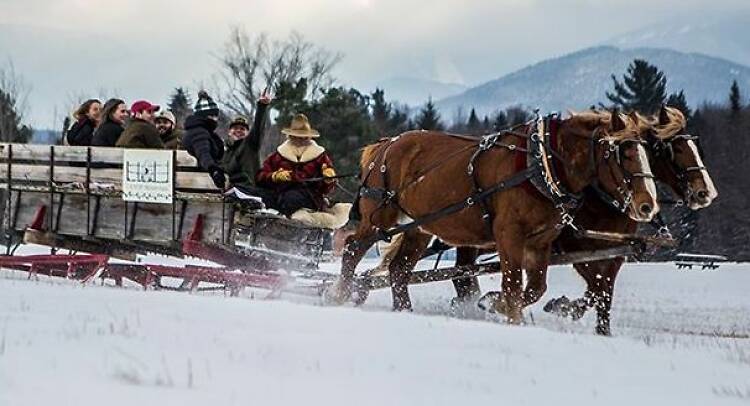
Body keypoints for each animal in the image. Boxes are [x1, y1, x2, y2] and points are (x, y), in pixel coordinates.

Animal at [326, 111, 660, 324]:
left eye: (648, 152)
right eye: (622, 153)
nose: (648, 205)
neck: (542, 166)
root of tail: (385, 144)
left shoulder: (540, 242)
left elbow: (536, 289)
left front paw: (495, 304)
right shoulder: (509, 234)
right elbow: (513, 285)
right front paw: (505, 311)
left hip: (419, 226)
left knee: (399, 270)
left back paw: (404, 311)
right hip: (379, 218)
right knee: (353, 250)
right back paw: (339, 295)